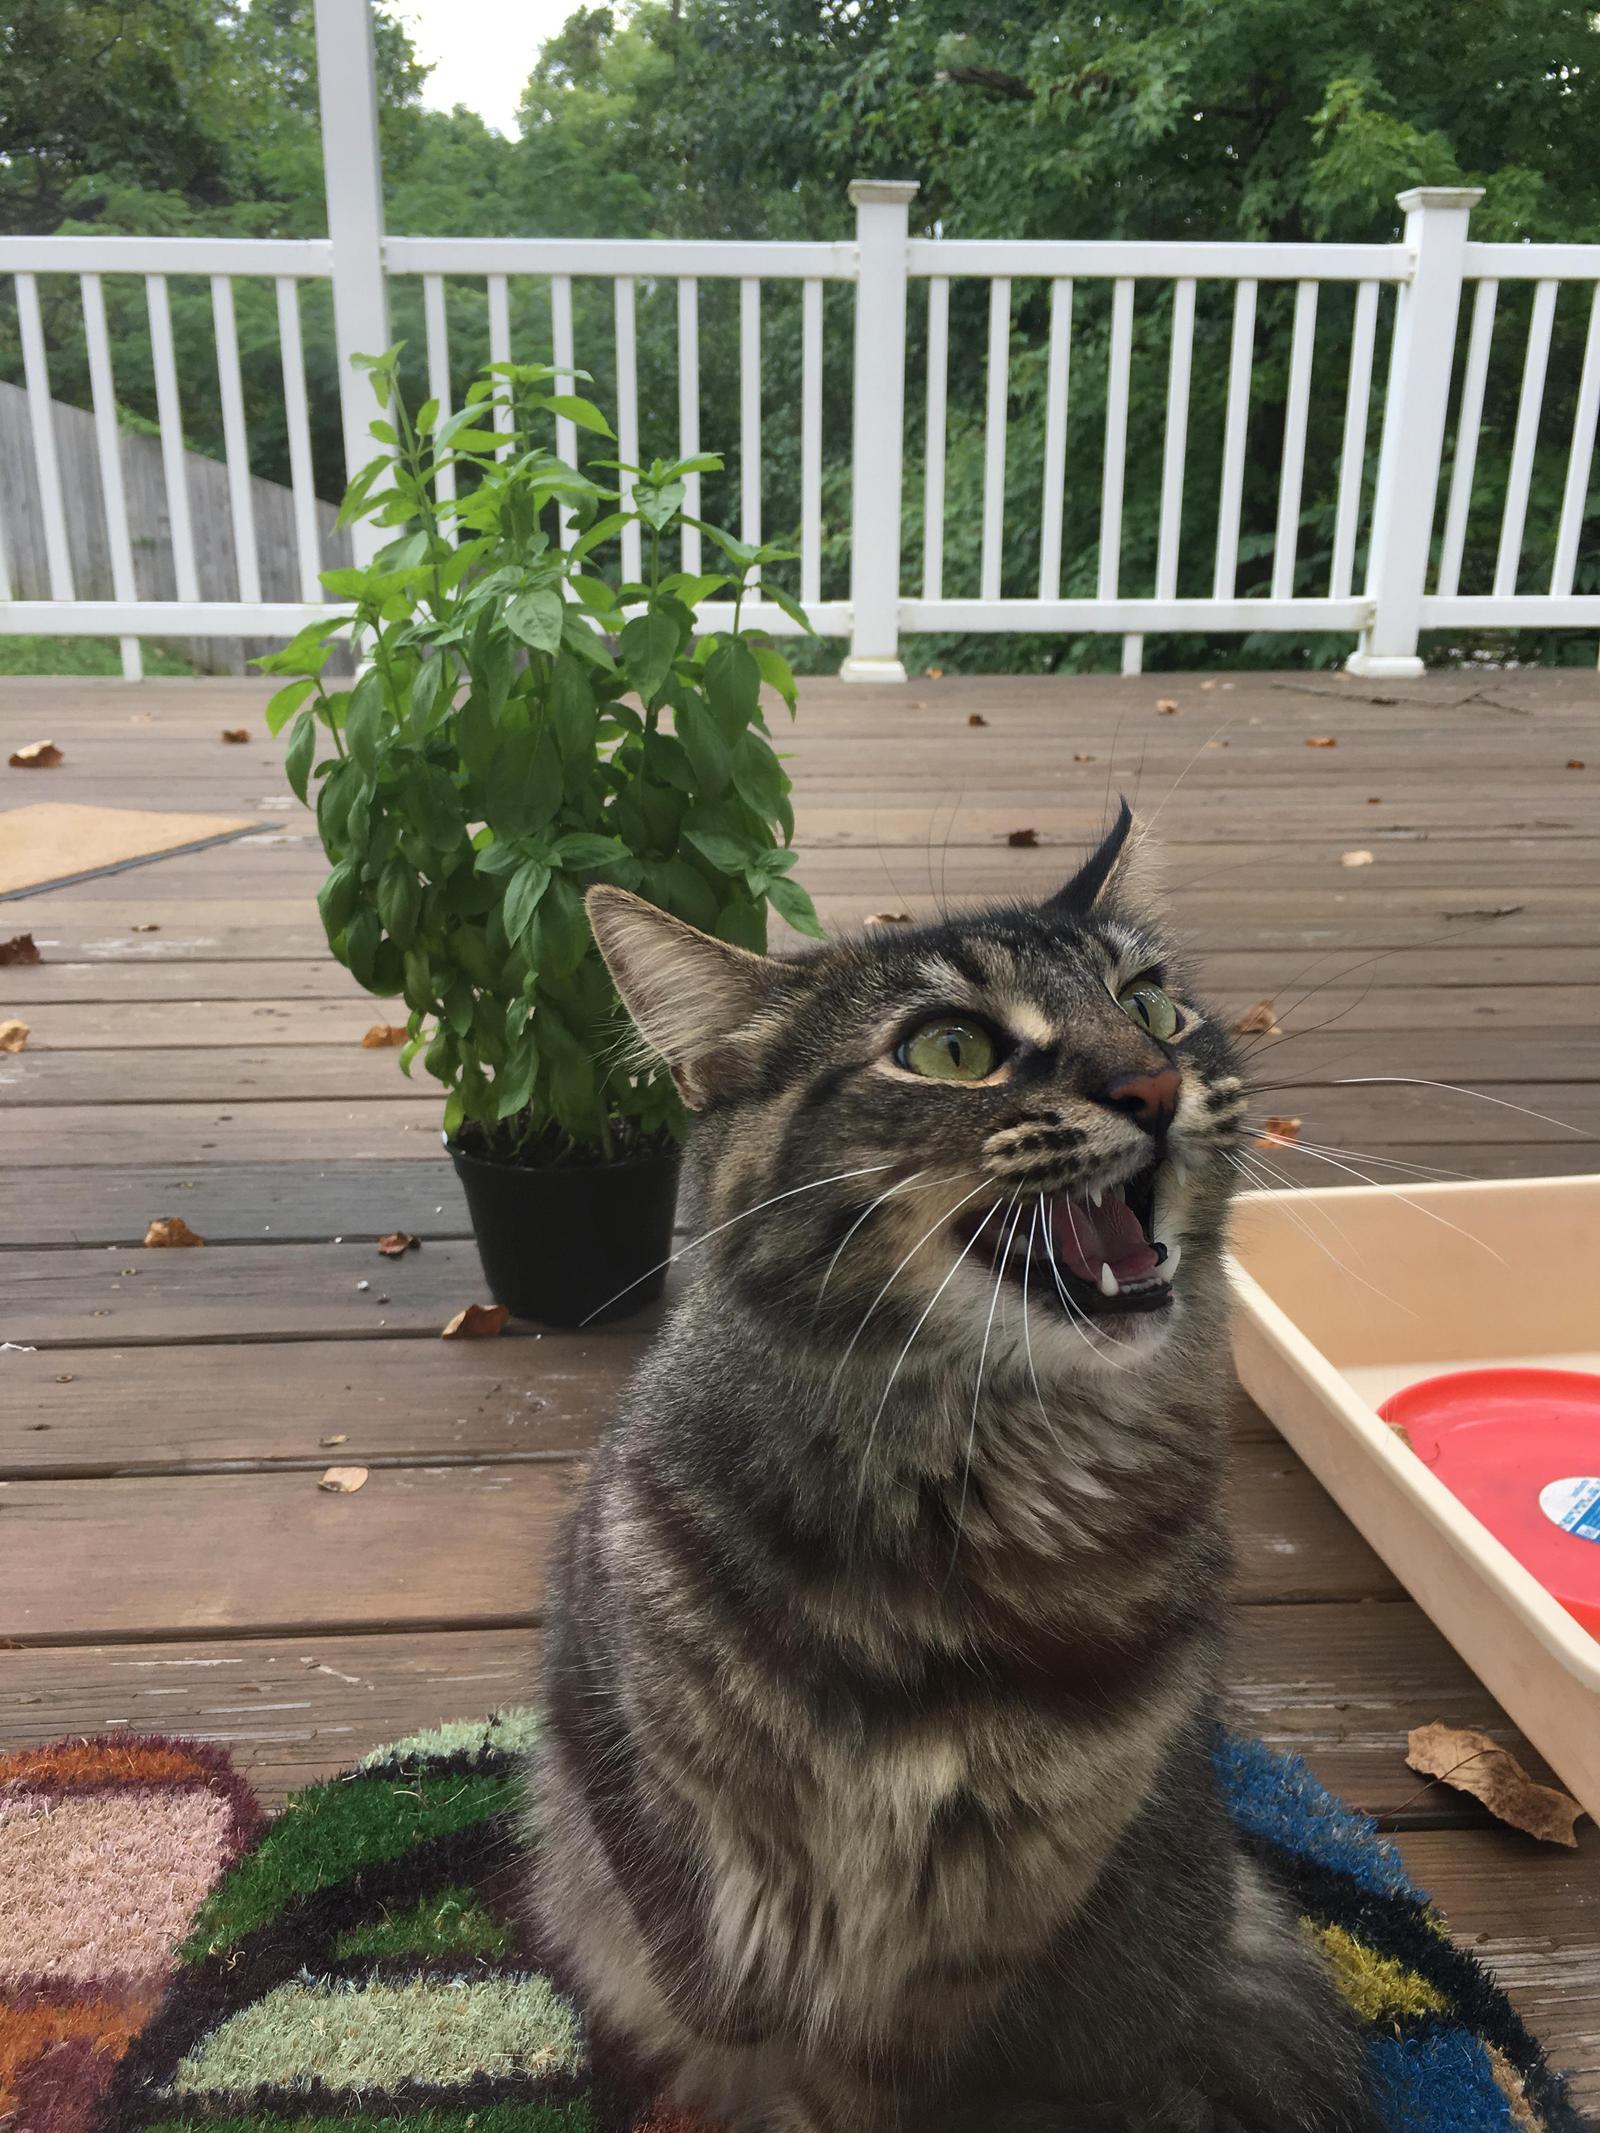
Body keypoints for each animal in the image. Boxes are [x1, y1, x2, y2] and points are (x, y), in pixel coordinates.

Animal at [533, 802, 1382, 2133]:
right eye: (948, 1049)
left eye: (1149, 1005)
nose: (1154, 1084)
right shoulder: (626, 1753)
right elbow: (721, 2004)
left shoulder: (1003, 1911)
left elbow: (887, 2076)